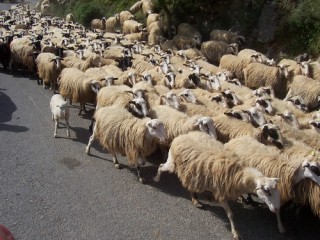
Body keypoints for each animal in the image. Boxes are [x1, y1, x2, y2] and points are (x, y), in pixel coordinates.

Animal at [154, 131, 282, 240]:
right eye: (267, 191)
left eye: (276, 191)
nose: (276, 209)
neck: (239, 175)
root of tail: (182, 136)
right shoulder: (220, 193)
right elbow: (230, 214)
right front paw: (235, 233)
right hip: (172, 163)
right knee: (161, 166)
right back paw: (156, 179)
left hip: (191, 172)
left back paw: (195, 200)